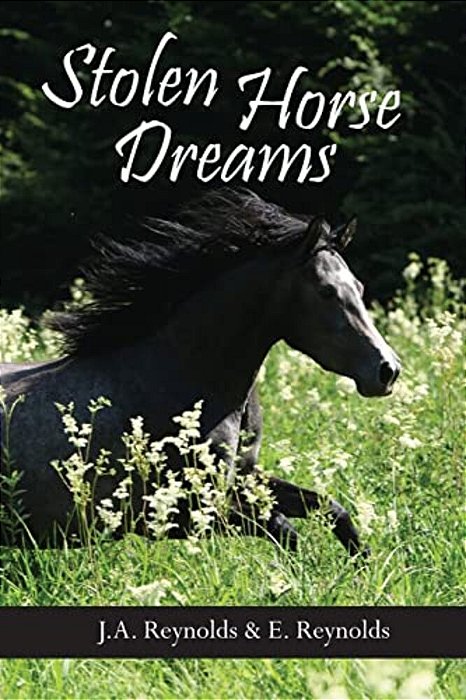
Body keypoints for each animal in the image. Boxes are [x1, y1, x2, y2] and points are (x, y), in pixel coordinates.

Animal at [0, 190, 400, 554]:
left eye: (359, 287)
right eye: (326, 291)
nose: (388, 371)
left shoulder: (242, 478)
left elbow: (332, 510)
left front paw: (363, 571)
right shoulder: (178, 511)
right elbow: (284, 529)